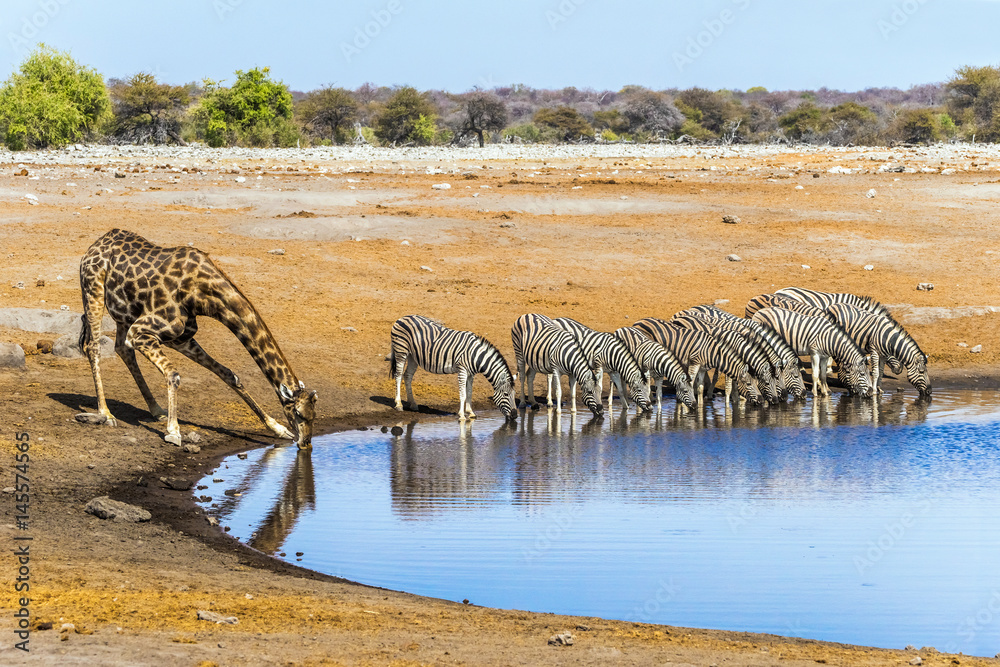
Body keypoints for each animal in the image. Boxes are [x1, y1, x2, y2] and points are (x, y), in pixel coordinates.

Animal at [78, 229, 317, 449]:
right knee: (93, 346)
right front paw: (174, 432)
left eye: (314, 415)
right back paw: (106, 413)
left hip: (124, 314)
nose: (306, 443)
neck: (202, 293)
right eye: (298, 413)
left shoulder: (180, 338)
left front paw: (278, 428)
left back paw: (156, 410)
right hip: (94, 291)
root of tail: (93, 246)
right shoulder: (140, 332)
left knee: (121, 349)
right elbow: (174, 374)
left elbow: (229, 375)